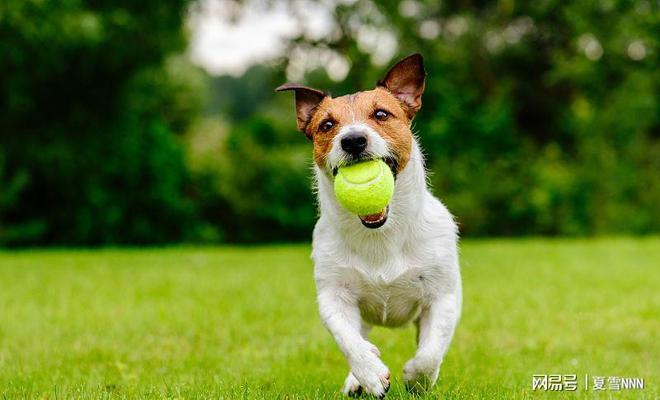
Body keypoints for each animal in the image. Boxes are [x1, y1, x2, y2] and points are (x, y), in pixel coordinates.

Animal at [276, 54, 462, 398]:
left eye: (381, 114)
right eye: (327, 125)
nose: (353, 140)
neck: (380, 234)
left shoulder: (443, 296)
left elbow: (430, 352)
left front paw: (416, 378)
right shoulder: (333, 296)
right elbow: (348, 340)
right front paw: (370, 373)